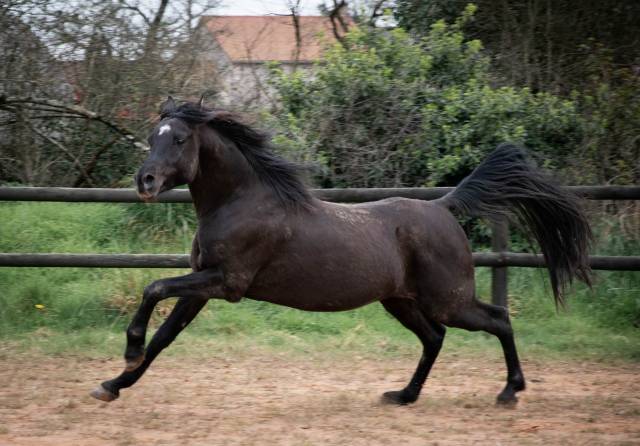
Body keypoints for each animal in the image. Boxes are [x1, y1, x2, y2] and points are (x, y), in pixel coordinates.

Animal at [89, 98, 592, 408]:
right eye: (153, 135)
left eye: (178, 139)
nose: (144, 182)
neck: (241, 201)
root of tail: (443, 206)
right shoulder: (202, 287)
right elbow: (163, 337)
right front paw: (113, 384)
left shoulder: (226, 283)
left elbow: (154, 288)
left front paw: (128, 352)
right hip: (401, 301)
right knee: (435, 338)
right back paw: (403, 395)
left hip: (448, 300)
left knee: (498, 319)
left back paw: (510, 392)